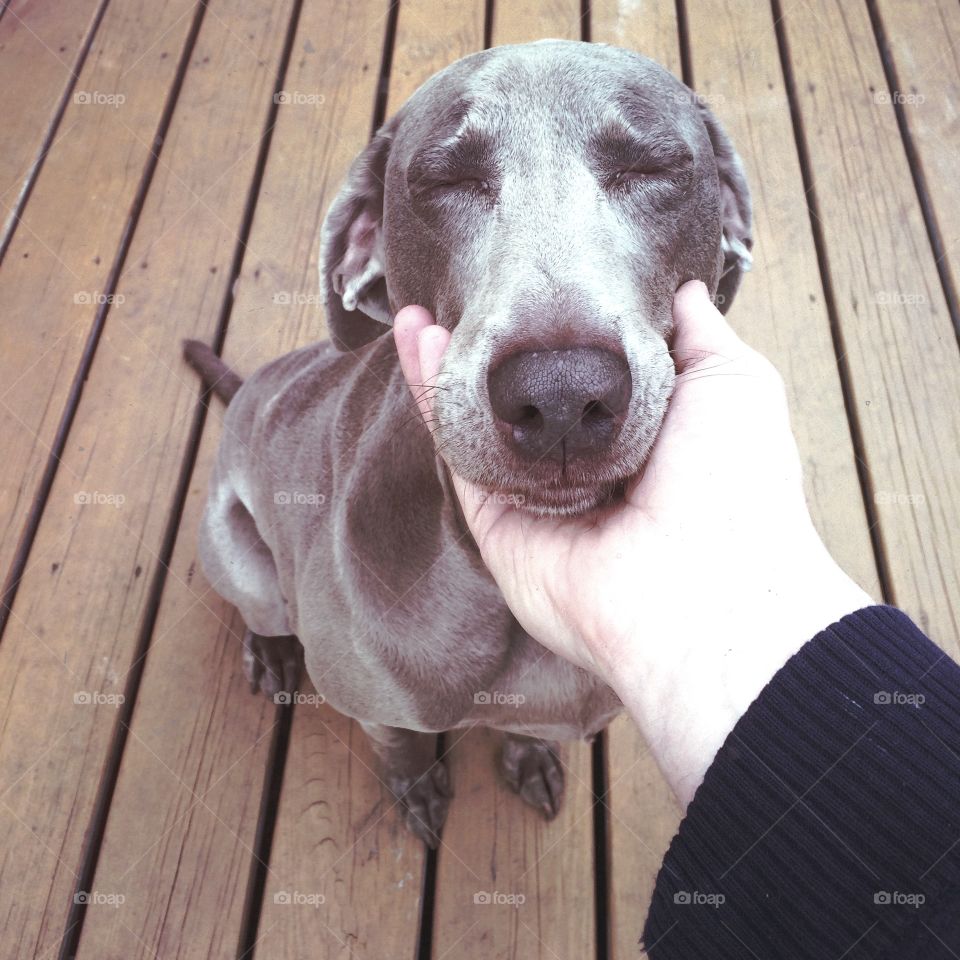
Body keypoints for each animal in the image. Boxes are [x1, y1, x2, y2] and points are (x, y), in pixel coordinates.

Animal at [182, 39, 752, 848]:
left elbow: (525, 729)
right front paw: (416, 786)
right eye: (443, 181)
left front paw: (527, 755)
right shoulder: (371, 697)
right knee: (262, 606)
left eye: (653, 168)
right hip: (237, 552)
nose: (560, 396)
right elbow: (399, 743)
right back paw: (269, 648)